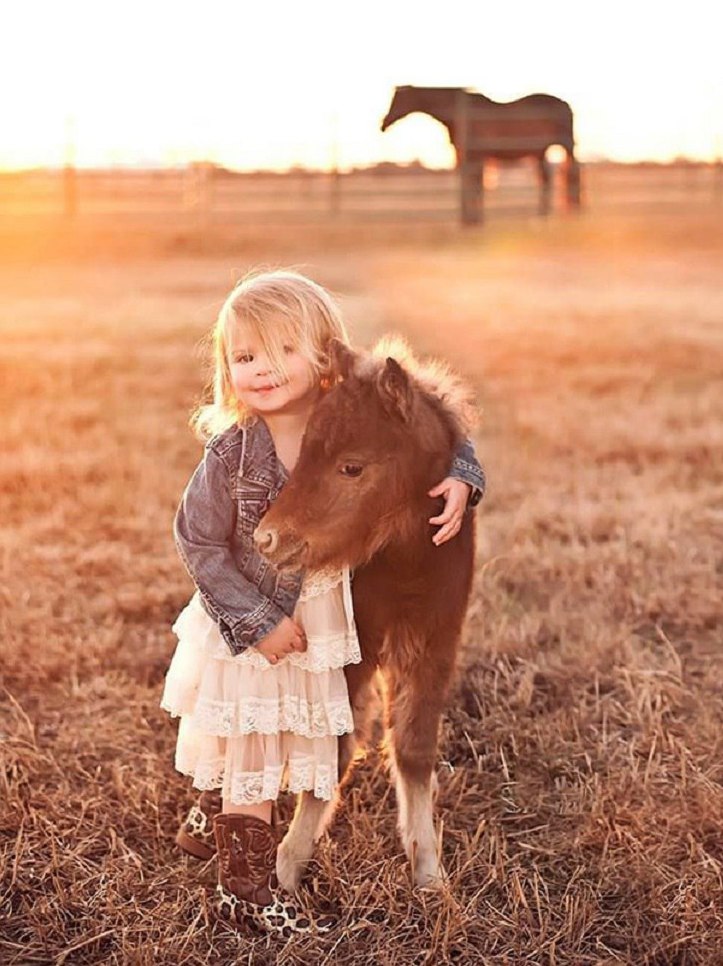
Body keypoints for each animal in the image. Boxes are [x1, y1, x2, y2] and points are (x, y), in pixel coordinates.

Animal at [382, 84, 580, 224]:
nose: (383, 124)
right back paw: (543, 215)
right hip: (540, 153)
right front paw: (471, 220)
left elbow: (475, 187)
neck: (461, 115)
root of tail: (566, 104)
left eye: (397, 100)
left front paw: (474, 220)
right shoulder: (469, 157)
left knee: (571, 173)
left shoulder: (475, 156)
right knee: (546, 180)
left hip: (566, 147)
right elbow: (473, 186)